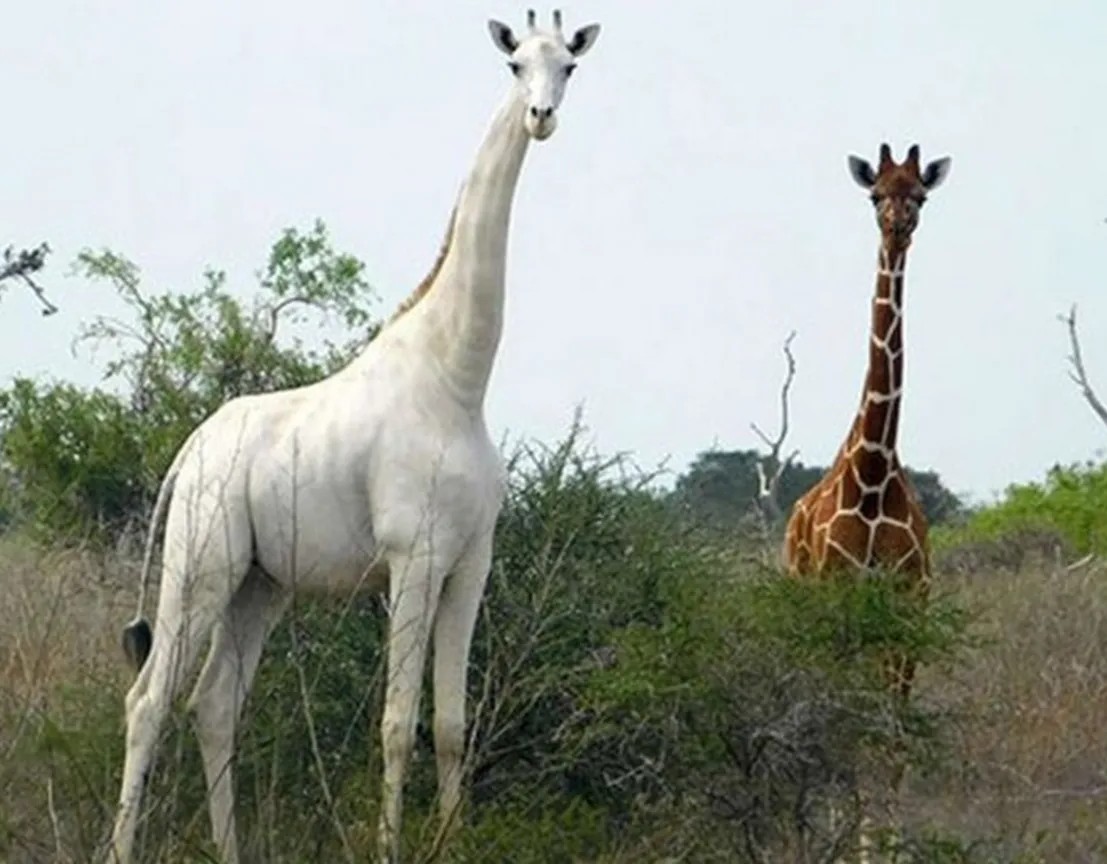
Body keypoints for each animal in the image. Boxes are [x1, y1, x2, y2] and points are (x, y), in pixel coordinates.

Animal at [105, 10, 601, 864]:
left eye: (568, 65)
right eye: (514, 65)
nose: (540, 117)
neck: (457, 380)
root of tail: (188, 453)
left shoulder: (470, 563)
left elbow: (451, 725)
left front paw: (451, 844)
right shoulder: (413, 557)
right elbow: (397, 724)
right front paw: (391, 849)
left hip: (260, 584)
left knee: (213, 703)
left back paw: (232, 851)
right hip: (201, 564)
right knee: (148, 701)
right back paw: (121, 849)